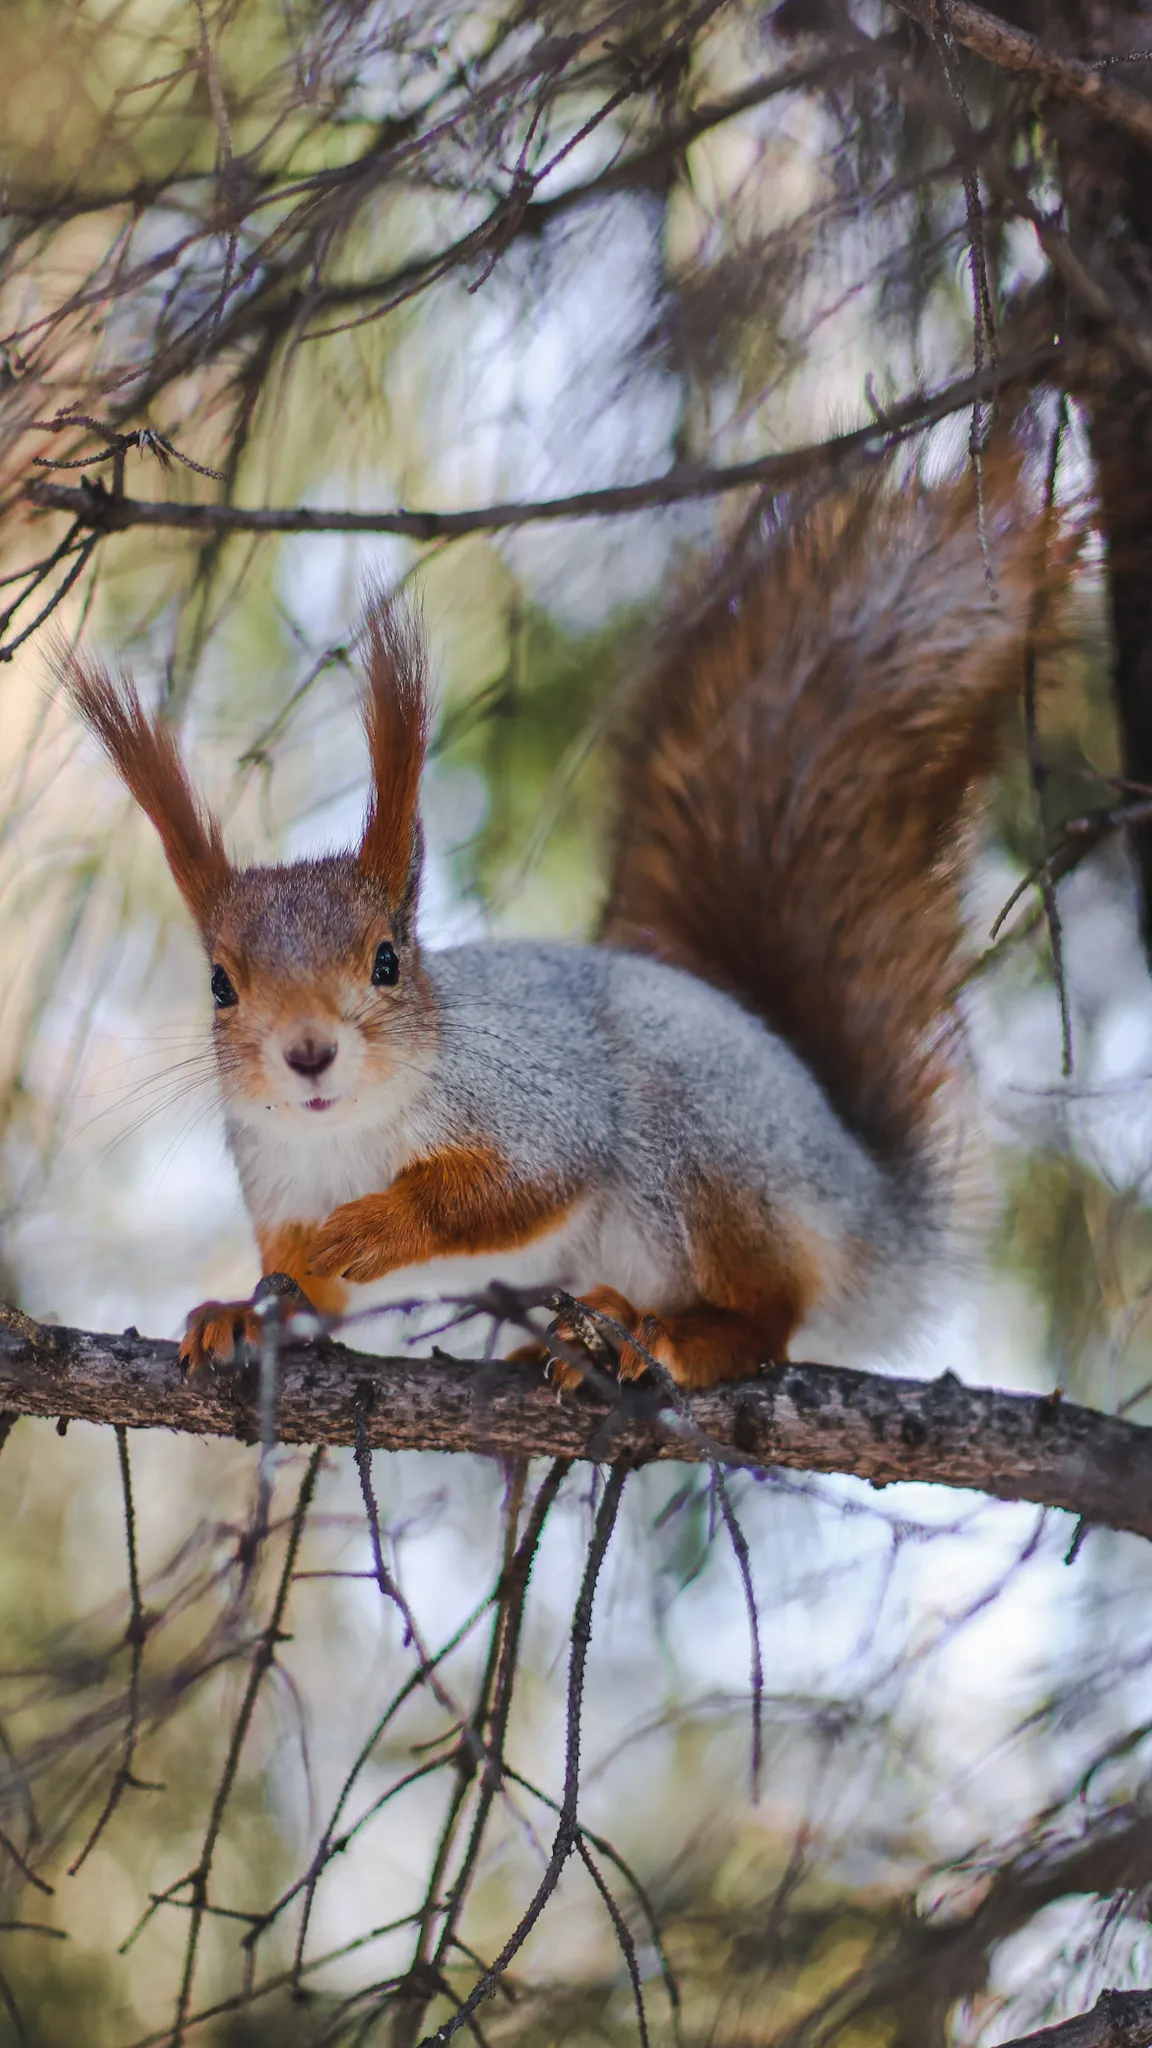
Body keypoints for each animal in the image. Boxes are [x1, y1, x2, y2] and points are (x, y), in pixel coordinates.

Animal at [56, 460, 1057, 1392]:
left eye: (388, 961)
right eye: (220, 985)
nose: (308, 1053)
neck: (347, 1137)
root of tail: (872, 1211)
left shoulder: (541, 1102)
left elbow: (515, 1190)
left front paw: (382, 1225)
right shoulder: (278, 1193)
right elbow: (309, 1294)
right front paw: (247, 1314)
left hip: (709, 1153)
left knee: (769, 1315)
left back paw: (675, 1335)